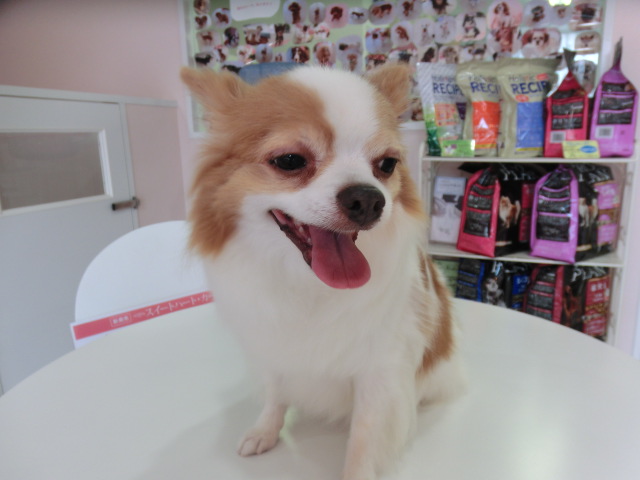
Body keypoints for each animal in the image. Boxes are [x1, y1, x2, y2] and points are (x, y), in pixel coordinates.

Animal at [180, 64, 462, 479]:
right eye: (290, 160)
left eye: (386, 165)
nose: (368, 198)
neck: (307, 284)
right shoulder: (274, 347)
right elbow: (275, 395)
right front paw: (265, 431)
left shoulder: (380, 372)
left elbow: (364, 441)